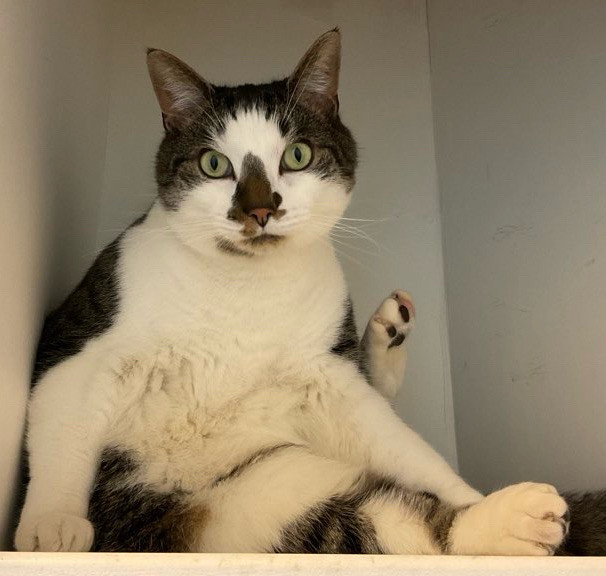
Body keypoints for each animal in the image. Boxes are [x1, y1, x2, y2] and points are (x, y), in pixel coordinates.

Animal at [14, 28, 606, 560]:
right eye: (213, 164)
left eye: (296, 155)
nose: (259, 210)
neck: (244, 291)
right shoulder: (78, 344)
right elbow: (62, 427)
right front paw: (51, 524)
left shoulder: (326, 378)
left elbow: (411, 451)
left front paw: (470, 494)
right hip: (252, 507)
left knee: (404, 518)